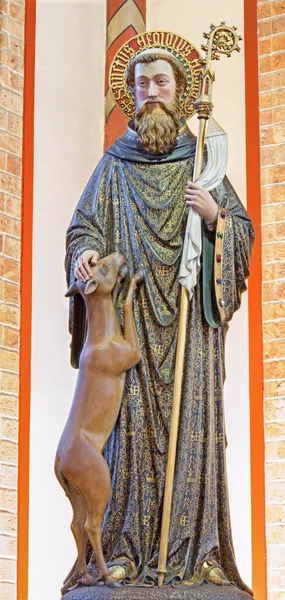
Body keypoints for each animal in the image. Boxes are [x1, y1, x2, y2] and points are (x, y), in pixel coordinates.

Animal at [54, 252, 142, 592]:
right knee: (92, 525)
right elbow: (127, 304)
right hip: (99, 484)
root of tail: (60, 460)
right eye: (102, 266)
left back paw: (84, 576)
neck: (102, 338)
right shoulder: (132, 353)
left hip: (76, 492)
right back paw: (105, 576)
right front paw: (134, 280)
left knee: (76, 524)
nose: (118, 255)